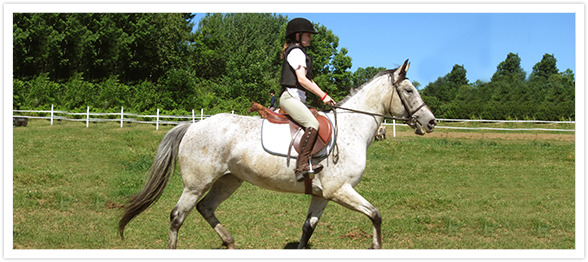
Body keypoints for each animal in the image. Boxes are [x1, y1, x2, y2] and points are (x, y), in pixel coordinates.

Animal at [118, 59, 436, 250]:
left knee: (206, 209)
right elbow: (376, 215)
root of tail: (193, 125)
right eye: (409, 90)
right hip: (196, 184)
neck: (351, 129)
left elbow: (308, 229)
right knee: (177, 216)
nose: (431, 122)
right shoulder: (340, 190)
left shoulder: (323, 195)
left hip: (229, 180)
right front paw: (376, 247)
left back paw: (230, 242)